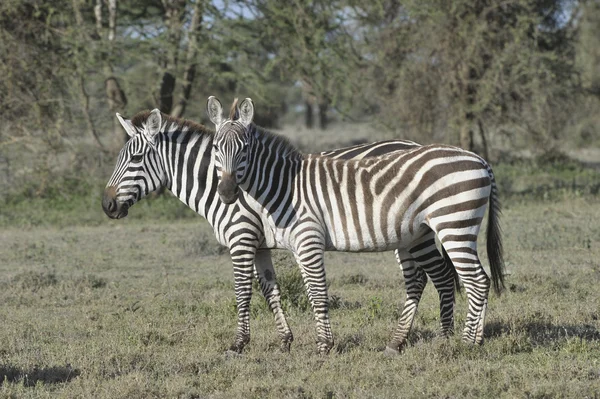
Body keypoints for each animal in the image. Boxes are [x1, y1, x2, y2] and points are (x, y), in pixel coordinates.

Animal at [103, 108, 460, 354]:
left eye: (135, 158)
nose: (106, 205)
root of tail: (413, 142)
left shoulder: (241, 237)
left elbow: (243, 291)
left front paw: (240, 344)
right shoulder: (259, 244)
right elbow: (269, 289)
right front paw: (285, 340)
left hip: (419, 233)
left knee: (437, 276)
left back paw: (444, 338)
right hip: (407, 235)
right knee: (419, 278)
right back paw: (399, 342)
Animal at [209, 97, 504, 356]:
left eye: (244, 149)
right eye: (215, 148)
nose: (226, 192)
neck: (284, 186)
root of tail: (480, 160)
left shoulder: (307, 239)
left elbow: (317, 293)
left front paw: (323, 347)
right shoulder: (295, 246)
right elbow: (298, 291)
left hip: (454, 225)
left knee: (476, 281)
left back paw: (466, 344)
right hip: (439, 230)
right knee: (475, 279)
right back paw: (471, 340)